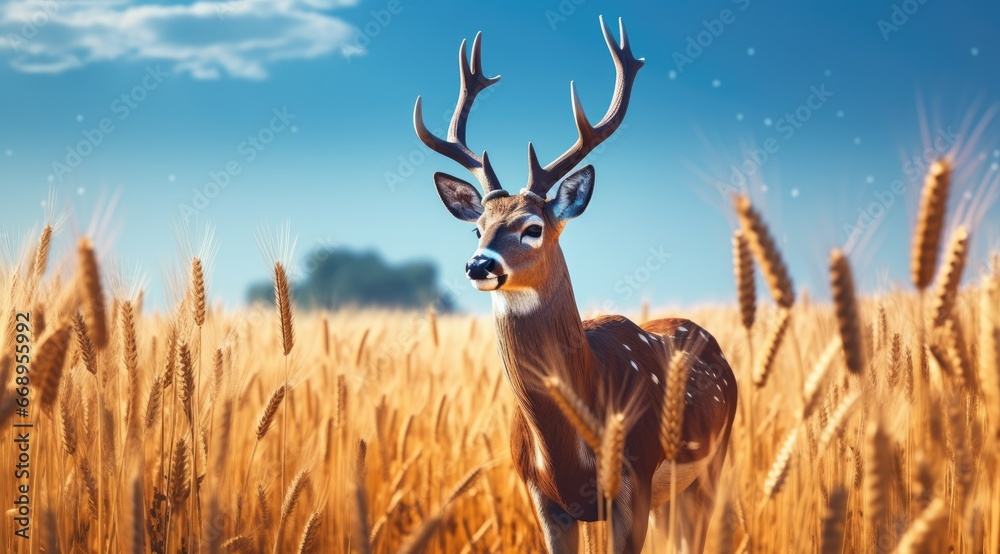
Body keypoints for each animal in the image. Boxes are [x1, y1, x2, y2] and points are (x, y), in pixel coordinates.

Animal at [413, 17, 738, 554]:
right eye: (476, 227)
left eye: (532, 227)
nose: (478, 265)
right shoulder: (543, 498)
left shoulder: (634, 482)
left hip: (712, 462)